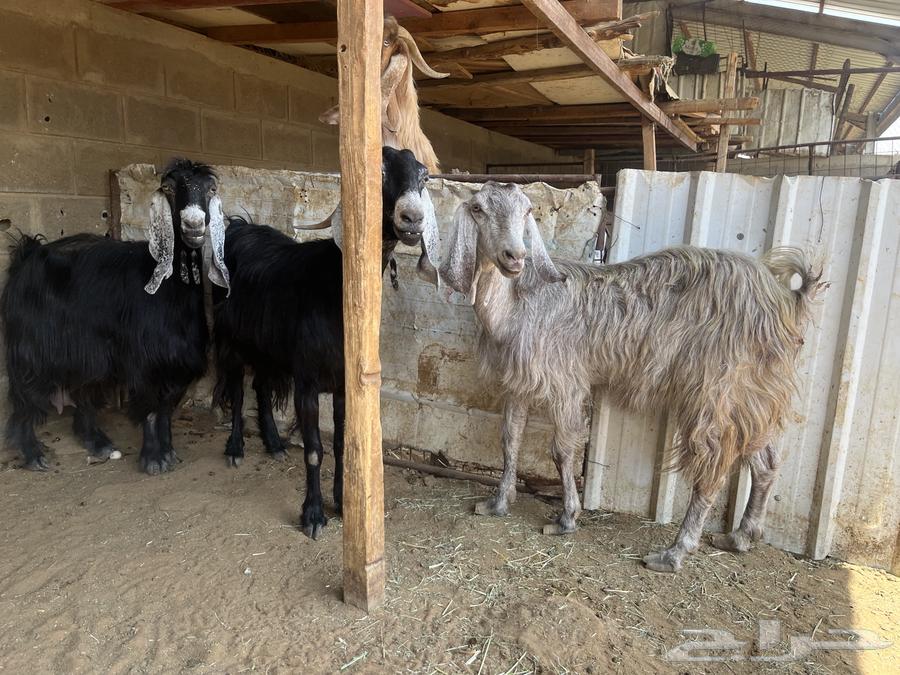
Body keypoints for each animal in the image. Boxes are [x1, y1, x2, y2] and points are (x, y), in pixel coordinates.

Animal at [1, 159, 230, 474]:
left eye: (211, 188)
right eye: (169, 188)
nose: (193, 225)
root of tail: (28, 253)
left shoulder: (178, 361)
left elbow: (166, 408)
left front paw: (169, 452)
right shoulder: (145, 360)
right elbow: (150, 407)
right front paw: (153, 459)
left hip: (87, 352)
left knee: (83, 390)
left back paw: (98, 443)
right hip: (32, 348)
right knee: (25, 396)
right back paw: (33, 454)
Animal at [213, 147, 440, 538]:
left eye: (424, 175)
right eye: (377, 170)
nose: (412, 218)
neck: (335, 292)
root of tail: (238, 226)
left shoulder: (345, 385)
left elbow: (340, 443)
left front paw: (342, 503)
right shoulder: (307, 380)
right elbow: (315, 449)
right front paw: (313, 514)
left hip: (267, 345)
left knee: (260, 385)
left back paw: (274, 444)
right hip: (231, 338)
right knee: (239, 389)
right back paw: (236, 448)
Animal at [431, 181, 819, 573]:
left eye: (527, 210)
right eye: (478, 208)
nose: (515, 256)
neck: (516, 305)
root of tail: (785, 298)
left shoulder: (566, 381)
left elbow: (561, 450)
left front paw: (566, 518)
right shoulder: (519, 382)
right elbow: (510, 440)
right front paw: (497, 503)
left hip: (714, 388)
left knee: (712, 465)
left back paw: (674, 553)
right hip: (751, 392)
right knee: (765, 460)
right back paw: (740, 536)